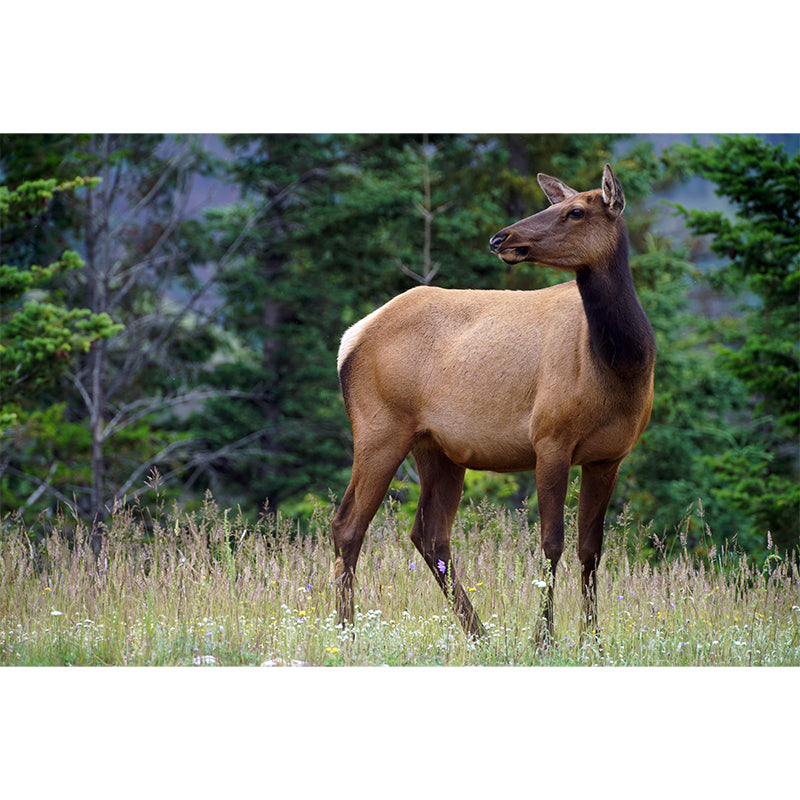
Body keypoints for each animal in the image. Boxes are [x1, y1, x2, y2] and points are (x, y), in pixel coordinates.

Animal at [331, 163, 656, 643]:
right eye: (556, 203)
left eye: (575, 211)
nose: (501, 238)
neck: (622, 367)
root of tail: (349, 340)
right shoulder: (550, 439)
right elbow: (552, 543)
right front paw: (543, 640)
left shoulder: (610, 455)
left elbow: (590, 550)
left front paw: (593, 641)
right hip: (379, 428)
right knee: (348, 525)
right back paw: (346, 631)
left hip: (437, 448)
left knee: (429, 534)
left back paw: (478, 633)